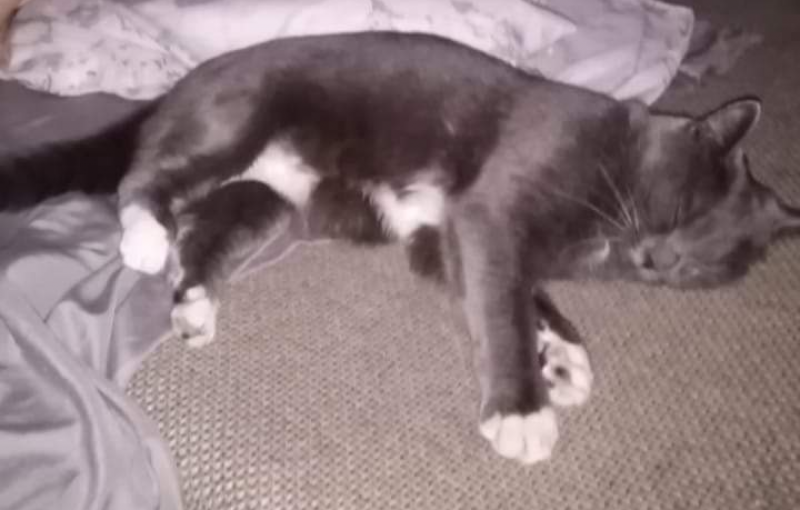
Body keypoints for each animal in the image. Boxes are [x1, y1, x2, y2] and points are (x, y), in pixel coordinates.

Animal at [1, 32, 799, 464]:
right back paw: (143, 233)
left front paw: (566, 358)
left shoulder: (444, 237)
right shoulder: (491, 211)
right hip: (236, 119)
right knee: (145, 176)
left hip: (271, 199)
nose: (660, 261)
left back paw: (194, 304)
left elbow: (524, 295)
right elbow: (505, 307)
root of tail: (183, 84)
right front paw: (523, 412)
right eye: (684, 207)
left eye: (707, 264)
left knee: (209, 231)